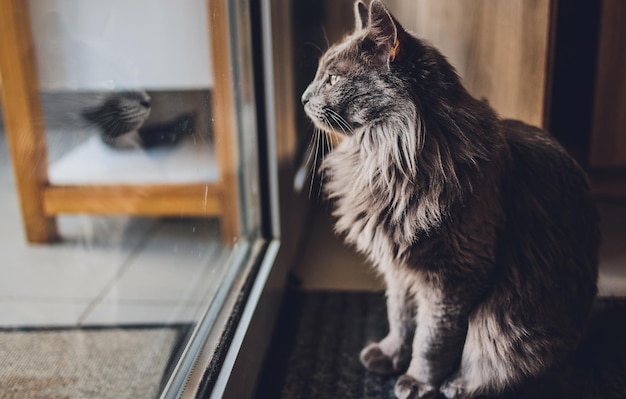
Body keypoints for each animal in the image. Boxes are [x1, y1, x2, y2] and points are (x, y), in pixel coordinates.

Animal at [302, 0, 600, 399]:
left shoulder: (453, 278)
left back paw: (458, 385)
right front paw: (391, 355)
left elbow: (432, 340)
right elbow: (400, 319)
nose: (303, 98)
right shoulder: (399, 271)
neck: (387, 160)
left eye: (333, 79)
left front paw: (417, 381)